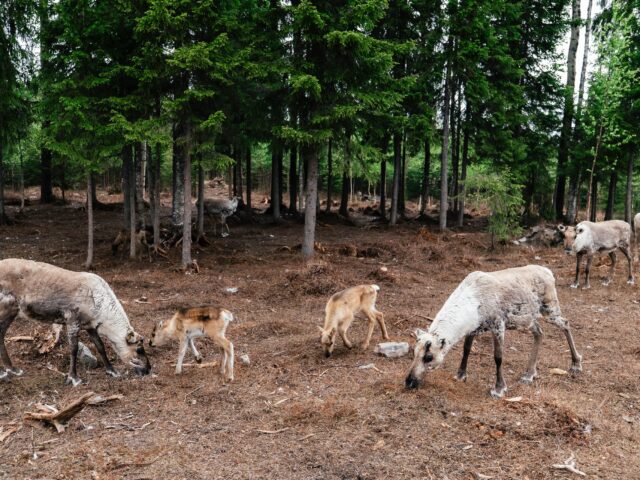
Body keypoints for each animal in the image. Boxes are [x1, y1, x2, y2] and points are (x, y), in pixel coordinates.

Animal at [405, 265, 582, 399]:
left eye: (429, 357)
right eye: (413, 353)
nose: (409, 382)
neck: (473, 301)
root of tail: (548, 272)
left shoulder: (498, 325)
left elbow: (498, 357)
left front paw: (499, 388)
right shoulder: (472, 328)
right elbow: (466, 350)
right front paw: (460, 375)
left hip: (549, 308)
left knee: (565, 324)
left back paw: (576, 364)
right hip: (527, 319)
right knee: (539, 332)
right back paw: (529, 374)